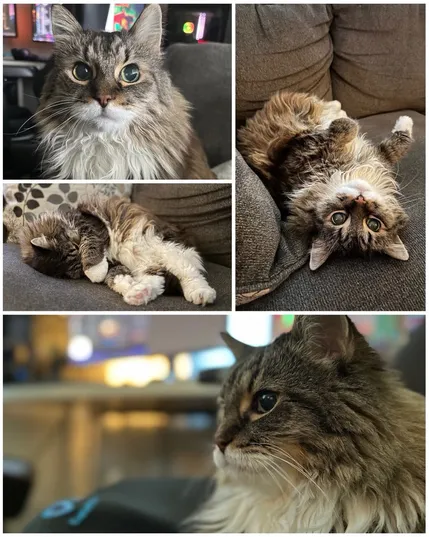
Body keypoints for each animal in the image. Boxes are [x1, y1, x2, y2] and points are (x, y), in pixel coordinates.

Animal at [18, 196, 216, 306]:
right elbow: (115, 277)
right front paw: (124, 284)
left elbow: (90, 245)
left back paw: (201, 293)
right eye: (76, 271)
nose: (83, 268)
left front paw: (94, 271)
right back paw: (137, 294)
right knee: (157, 280)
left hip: (164, 246)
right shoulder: (115, 263)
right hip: (147, 264)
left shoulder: (91, 223)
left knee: (189, 273)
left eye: (75, 248)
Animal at [237, 92, 412, 270]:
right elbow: (349, 128)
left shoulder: (379, 159)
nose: (360, 199)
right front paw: (406, 119)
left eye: (373, 224)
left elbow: (397, 142)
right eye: (338, 218)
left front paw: (405, 120)